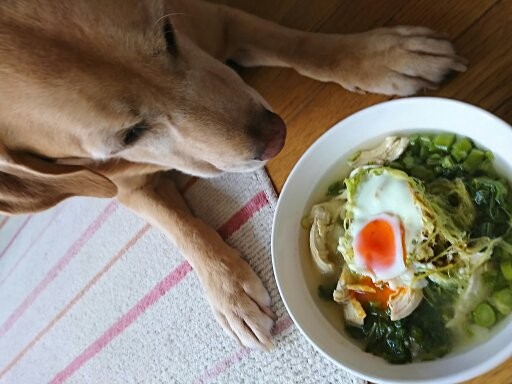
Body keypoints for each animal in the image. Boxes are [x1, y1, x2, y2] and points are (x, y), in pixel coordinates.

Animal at [0, 0, 464, 350]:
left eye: (168, 36)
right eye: (128, 135)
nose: (276, 137)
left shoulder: (214, 19)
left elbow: (296, 42)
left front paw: (381, 56)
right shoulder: (118, 185)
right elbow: (181, 226)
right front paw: (230, 294)